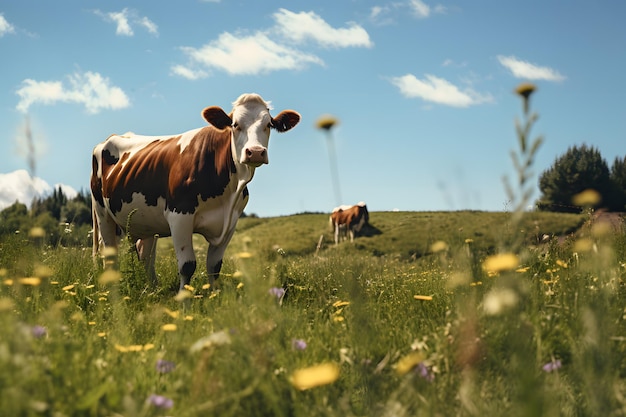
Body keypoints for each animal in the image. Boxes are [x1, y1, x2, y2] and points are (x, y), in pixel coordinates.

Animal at [89, 93, 300, 290]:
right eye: (235, 124)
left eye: (268, 124)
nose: (255, 152)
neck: (229, 192)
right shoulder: (179, 216)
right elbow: (187, 266)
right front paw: (185, 301)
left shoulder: (230, 222)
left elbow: (214, 266)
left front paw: (214, 296)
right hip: (103, 214)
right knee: (109, 257)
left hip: (146, 221)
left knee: (145, 255)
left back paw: (152, 289)